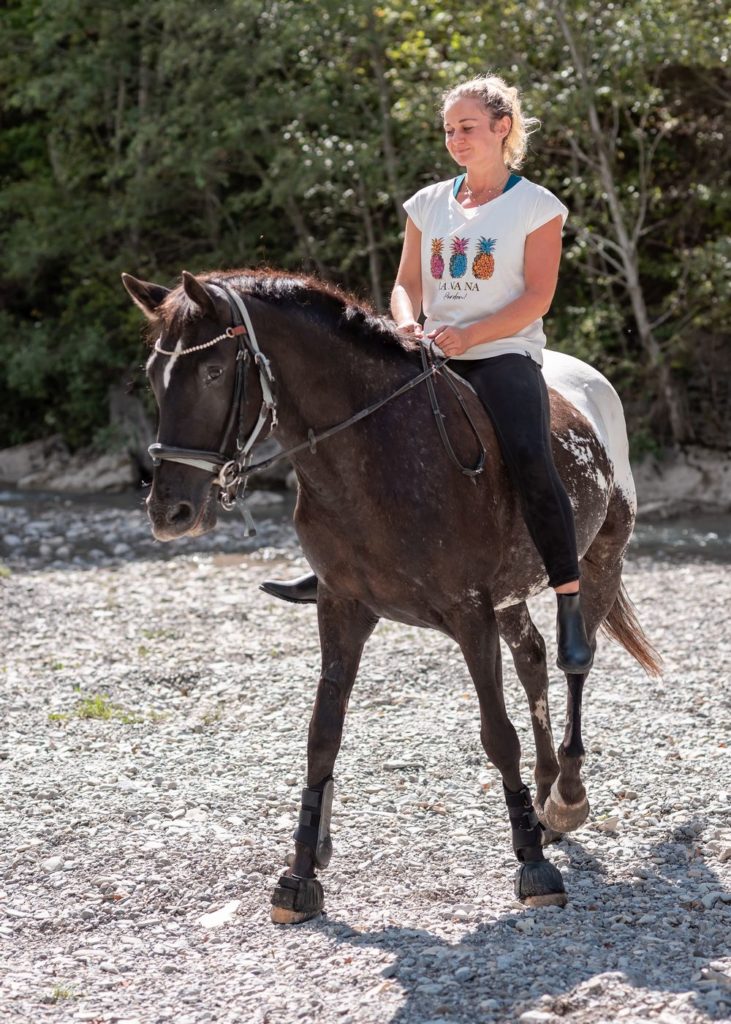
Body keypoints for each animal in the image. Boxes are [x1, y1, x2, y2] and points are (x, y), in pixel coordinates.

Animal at [122, 268, 659, 925]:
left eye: (215, 372)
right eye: (155, 374)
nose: (170, 512)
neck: (373, 455)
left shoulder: (469, 611)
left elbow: (496, 734)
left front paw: (533, 867)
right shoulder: (343, 608)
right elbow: (322, 735)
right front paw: (300, 875)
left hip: (597, 561)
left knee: (575, 661)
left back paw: (564, 799)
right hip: (511, 595)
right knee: (532, 660)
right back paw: (544, 797)